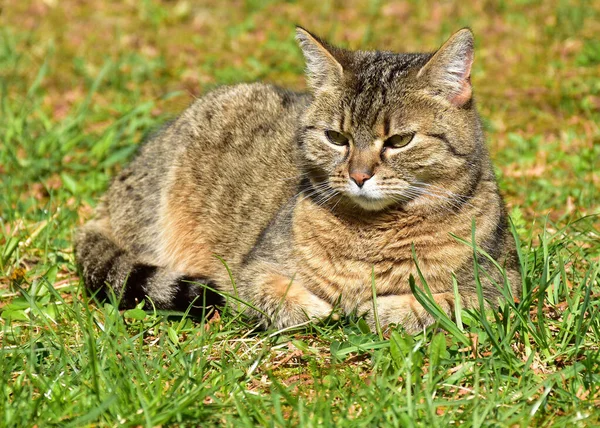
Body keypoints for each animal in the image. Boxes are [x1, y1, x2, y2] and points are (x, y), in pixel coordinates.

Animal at [76, 27, 520, 334]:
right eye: (336, 137)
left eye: (399, 140)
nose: (359, 175)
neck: (370, 235)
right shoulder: (249, 269)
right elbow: (275, 294)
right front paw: (318, 306)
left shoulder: (504, 285)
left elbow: (445, 302)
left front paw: (384, 307)